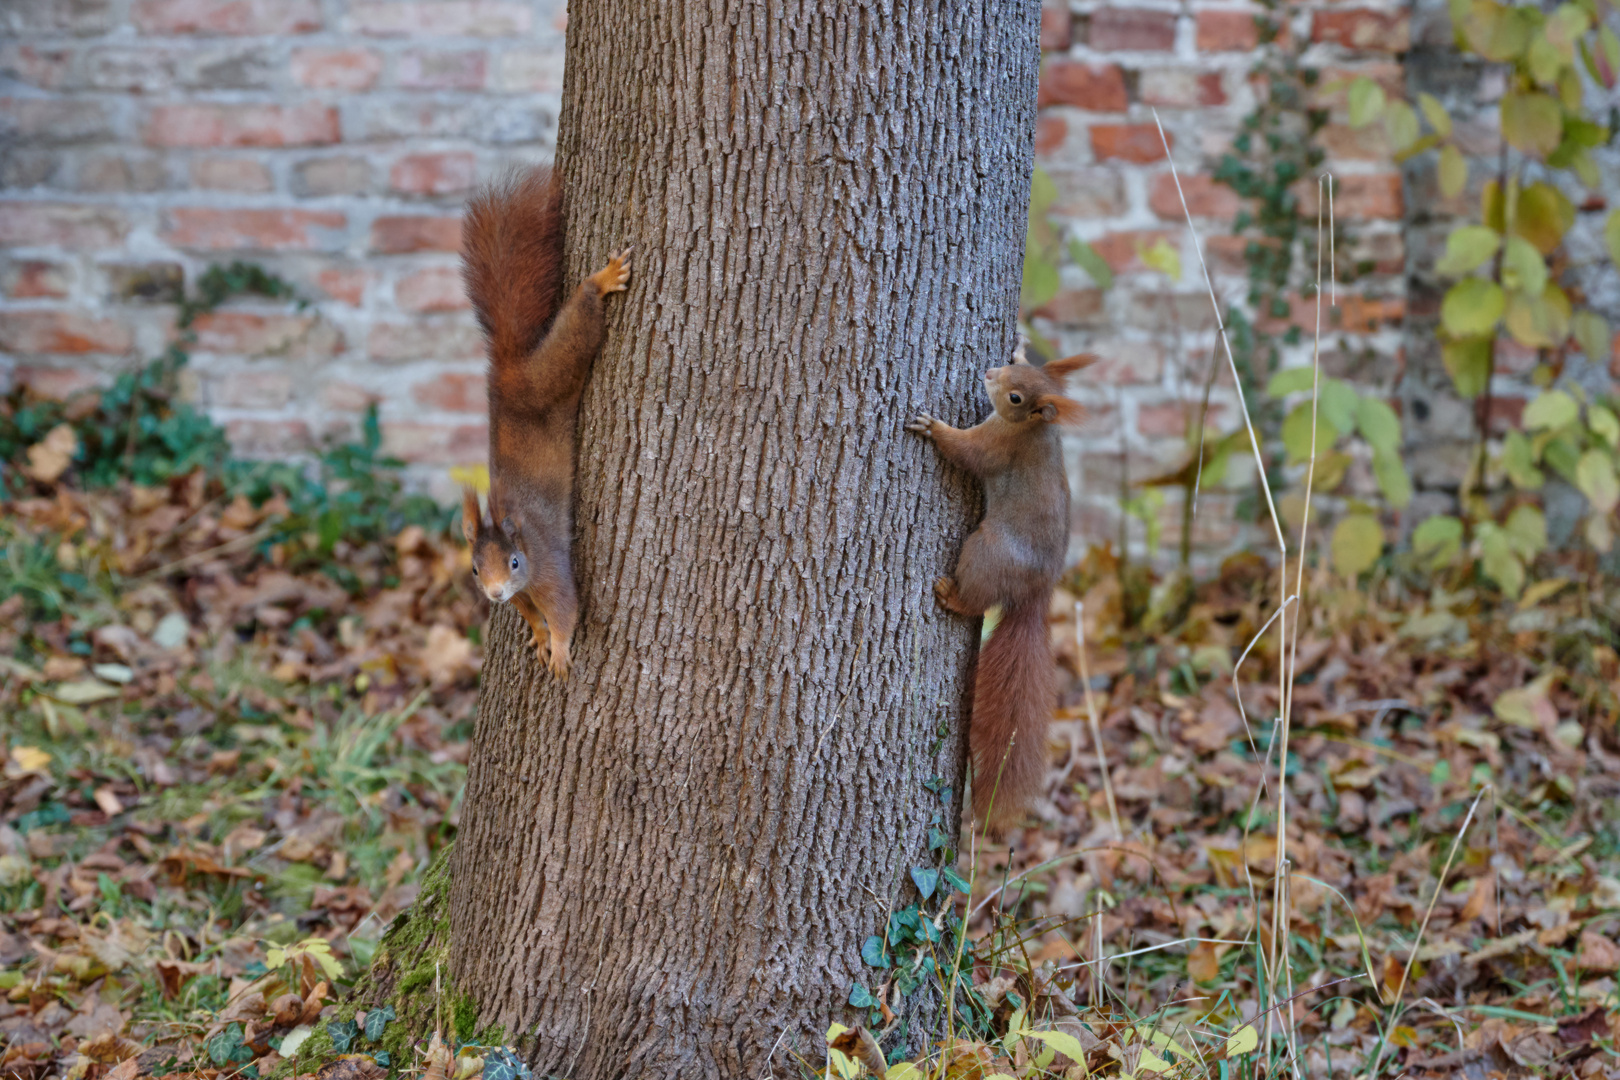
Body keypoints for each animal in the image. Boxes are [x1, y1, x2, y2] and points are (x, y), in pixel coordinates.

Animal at [463, 165, 631, 680]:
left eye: (515, 562)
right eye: (475, 570)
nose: (496, 593)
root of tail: (509, 370)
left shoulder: (553, 571)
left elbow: (565, 608)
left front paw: (557, 647)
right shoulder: (520, 596)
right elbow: (530, 612)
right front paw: (538, 635)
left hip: (551, 376)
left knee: (577, 331)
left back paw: (600, 281)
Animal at [907, 341, 1095, 835]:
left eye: (1016, 398)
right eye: (1016, 368)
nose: (991, 373)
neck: (1035, 429)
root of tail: (1036, 594)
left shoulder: (997, 447)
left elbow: (968, 452)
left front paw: (934, 428)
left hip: (986, 550)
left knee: (975, 601)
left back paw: (951, 596)